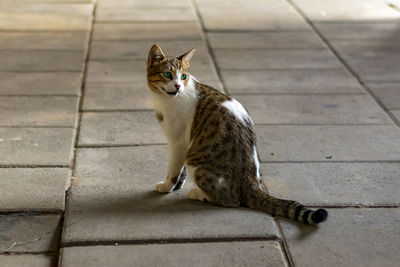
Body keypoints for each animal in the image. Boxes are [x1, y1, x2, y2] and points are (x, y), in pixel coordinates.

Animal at [147, 44, 328, 226]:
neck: (166, 99)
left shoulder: (178, 143)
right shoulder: (185, 142)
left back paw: (199, 193)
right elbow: (181, 171)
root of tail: (251, 182)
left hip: (196, 161)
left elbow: (173, 170)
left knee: (230, 200)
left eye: (184, 76)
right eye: (168, 74)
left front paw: (167, 186)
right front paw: (177, 185)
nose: (178, 86)